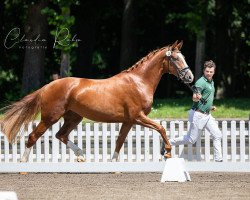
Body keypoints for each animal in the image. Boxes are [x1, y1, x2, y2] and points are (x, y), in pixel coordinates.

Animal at [0, 40, 193, 162]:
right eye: (176, 58)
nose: (190, 77)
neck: (139, 82)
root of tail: (47, 86)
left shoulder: (129, 121)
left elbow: (119, 142)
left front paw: (113, 163)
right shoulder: (138, 117)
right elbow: (161, 128)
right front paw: (167, 152)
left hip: (73, 117)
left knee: (61, 135)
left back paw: (81, 154)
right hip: (50, 117)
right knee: (34, 136)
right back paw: (24, 163)